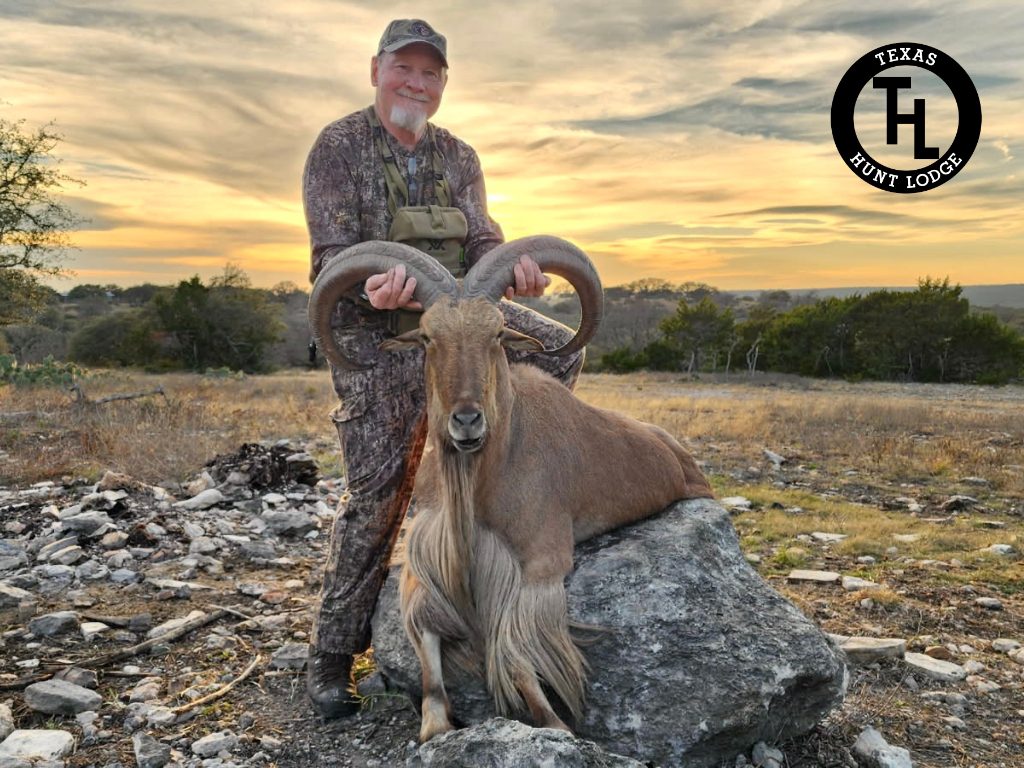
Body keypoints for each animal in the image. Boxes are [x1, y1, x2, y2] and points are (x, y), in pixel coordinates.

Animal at [308, 236, 713, 742]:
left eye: (498, 333)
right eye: (428, 337)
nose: (466, 421)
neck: (482, 480)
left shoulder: (539, 567)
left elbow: (517, 658)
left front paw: (556, 724)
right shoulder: (424, 563)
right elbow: (428, 650)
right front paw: (435, 723)